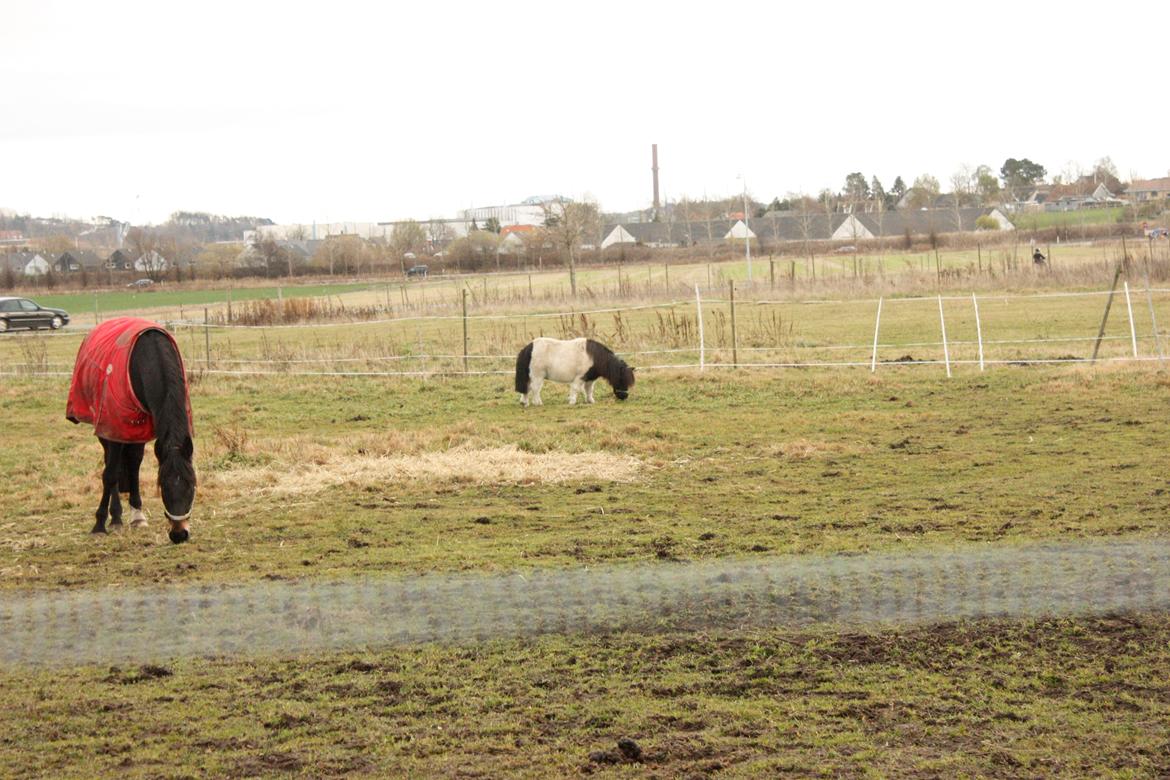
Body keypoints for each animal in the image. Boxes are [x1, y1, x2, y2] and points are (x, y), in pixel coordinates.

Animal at [67, 318, 196, 542]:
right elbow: (110, 474)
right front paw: (99, 524)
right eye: (163, 486)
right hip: (108, 431)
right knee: (111, 465)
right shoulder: (114, 428)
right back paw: (115, 517)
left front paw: (138, 516)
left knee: (132, 463)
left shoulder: (141, 429)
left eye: (191, 486)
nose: (179, 534)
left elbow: (134, 466)